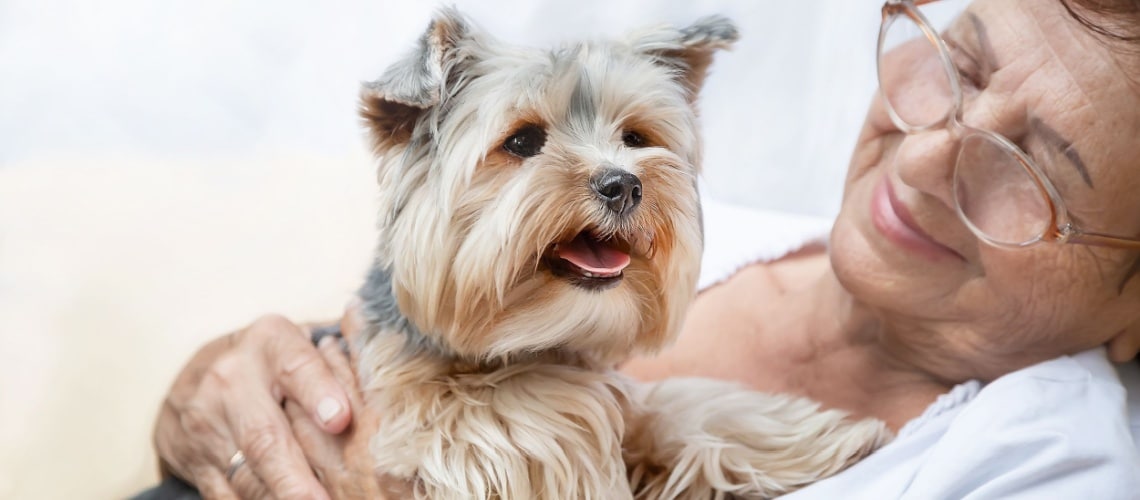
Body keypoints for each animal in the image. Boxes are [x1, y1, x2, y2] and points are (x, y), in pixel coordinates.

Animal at [353, 8, 889, 500]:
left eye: (634, 138)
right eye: (522, 141)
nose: (624, 185)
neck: (532, 339)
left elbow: (683, 408)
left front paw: (819, 437)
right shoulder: (441, 398)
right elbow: (529, 408)